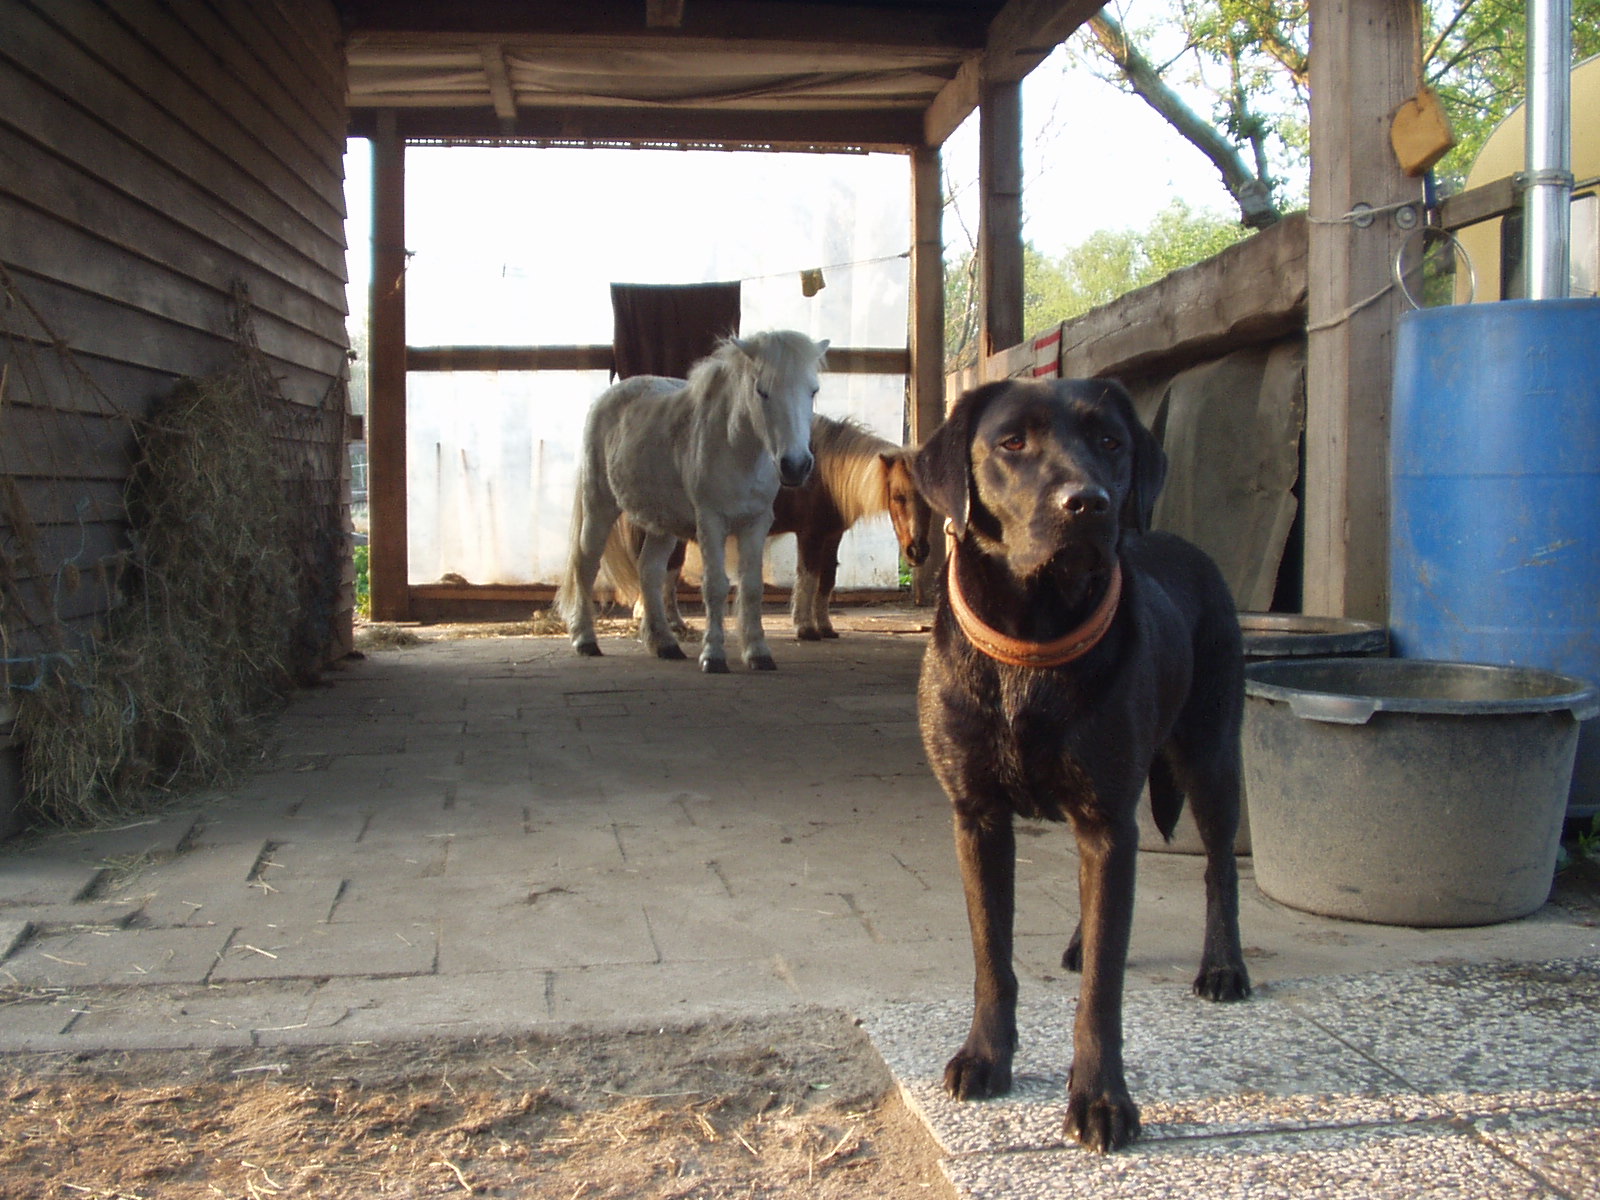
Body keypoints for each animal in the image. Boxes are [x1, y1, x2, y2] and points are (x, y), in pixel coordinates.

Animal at [556, 334, 832, 672]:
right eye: (761, 390)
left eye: (813, 390)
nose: (795, 465)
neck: (735, 448)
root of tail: (611, 396)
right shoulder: (710, 521)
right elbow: (715, 585)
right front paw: (713, 657)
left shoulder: (756, 523)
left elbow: (752, 587)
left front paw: (758, 653)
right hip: (599, 505)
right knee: (586, 564)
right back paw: (585, 640)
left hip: (661, 523)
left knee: (649, 570)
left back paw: (664, 643)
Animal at [601, 412, 934, 640]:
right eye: (898, 495)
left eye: (929, 499)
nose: (917, 551)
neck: (823, 476)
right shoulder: (810, 535)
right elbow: (808, 578)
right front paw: (805, 627)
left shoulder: (832, 536)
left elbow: (827, 580)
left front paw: (825, 626)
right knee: (663, 572)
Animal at [915, 376, 1248, 1158]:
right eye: (1011, 442)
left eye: (1110, 442)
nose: (1088, 503)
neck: (1033, 641)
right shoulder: (978, 819)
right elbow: (992, 956)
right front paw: (986, 1057)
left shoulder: (1107, 818)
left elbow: (1103, 988)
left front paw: (1100, 1099)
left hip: (1211, 755)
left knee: (1219, 866)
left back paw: (1223, 965)